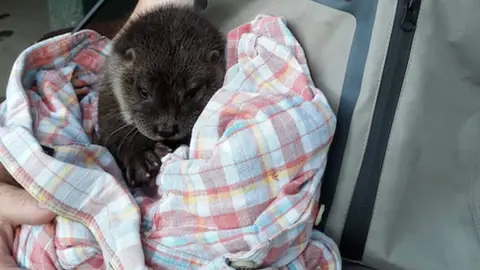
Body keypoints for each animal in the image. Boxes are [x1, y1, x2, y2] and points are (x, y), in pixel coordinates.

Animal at [96, 4, 228, 196]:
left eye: (191, 91)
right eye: (144, 91)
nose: (165, 129)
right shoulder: (108, 100)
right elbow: (114, 136)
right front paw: (141, 160)